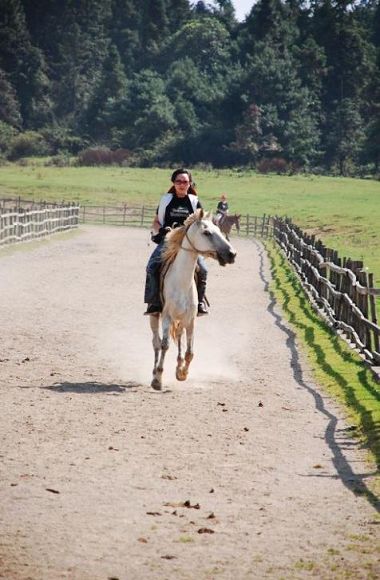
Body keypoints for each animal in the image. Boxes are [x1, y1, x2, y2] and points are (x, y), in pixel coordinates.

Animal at [148, 208, 235, 390]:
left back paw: (178, 365)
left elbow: (190, 351)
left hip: (181, 321)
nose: (232, 254)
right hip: (154, 316)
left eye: (218, 229)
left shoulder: (190, 319)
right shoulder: (167, 316)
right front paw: (158, 378)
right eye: (207, 232)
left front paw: (182, 373)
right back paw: (153, 373)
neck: (181, 281)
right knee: (156, 343)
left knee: (179, 338)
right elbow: (165, 345)